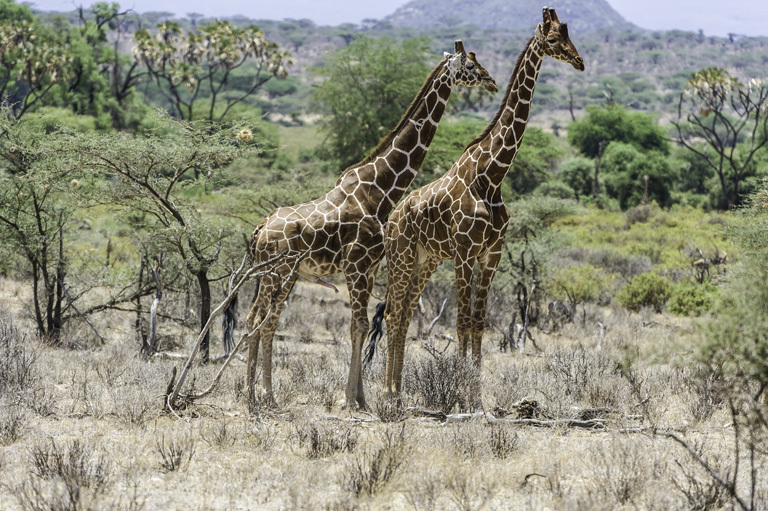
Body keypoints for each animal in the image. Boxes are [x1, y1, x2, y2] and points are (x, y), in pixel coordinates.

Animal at [246, 40, 498, 410]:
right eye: (469, 66)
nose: (492, 82)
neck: (381, 188)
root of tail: (259, 230)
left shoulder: (369, 266)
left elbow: (362, 326)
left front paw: (361, 397)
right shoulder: (358, 264)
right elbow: (360, 326)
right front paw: (353, 399)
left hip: (279, 274)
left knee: (261, 318)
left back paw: (255, 392)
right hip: (276, 273)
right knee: (262, 320)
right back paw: (261, 394)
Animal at [376, 7, 584, 400]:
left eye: (570, 35)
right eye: (553, 39)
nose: (579, 61)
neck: (492, 176)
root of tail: (393, 217)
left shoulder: (491, 254)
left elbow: (479, 323)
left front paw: (476, 395)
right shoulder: (464, 252)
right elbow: (461, 322)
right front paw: (460, 393)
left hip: (425, 260)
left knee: (406, 313)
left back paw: (396, 391)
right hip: (401, 255)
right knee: (394, 314)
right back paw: (388, 392)